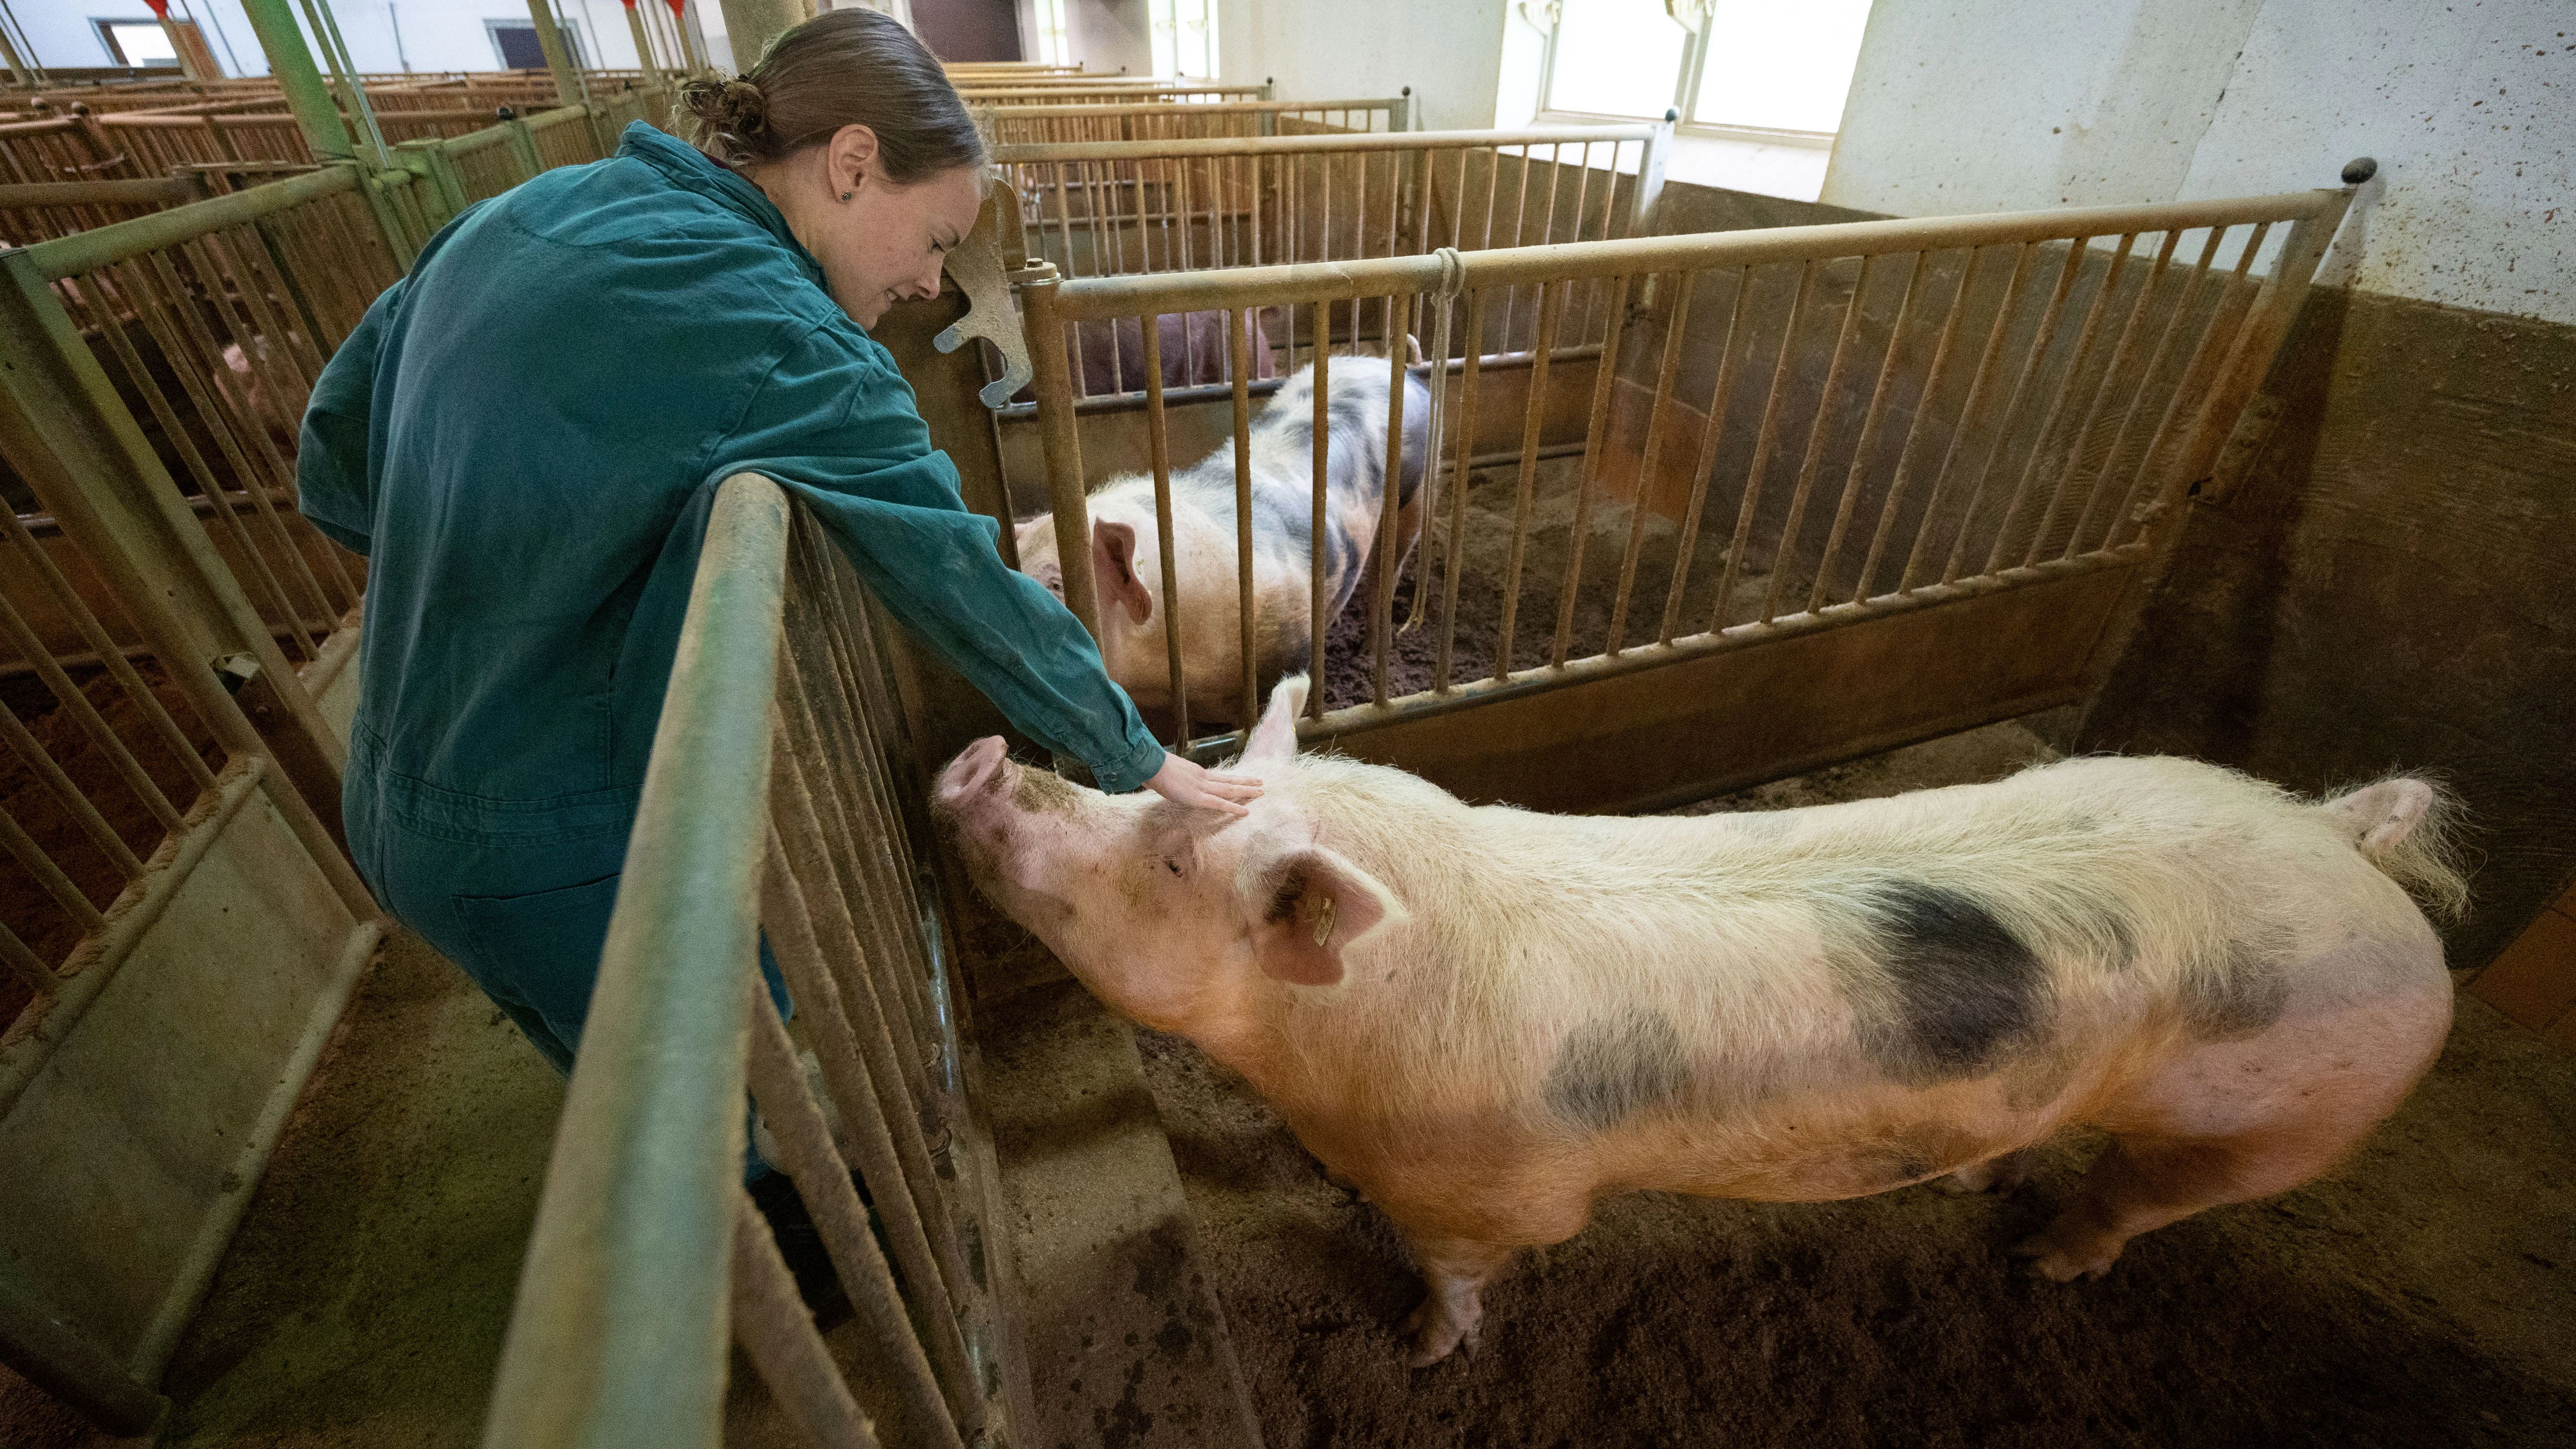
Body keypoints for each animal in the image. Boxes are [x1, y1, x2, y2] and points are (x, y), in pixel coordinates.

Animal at [933, 678, 2465, 1365]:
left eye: (1171, 864)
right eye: (1152, 792)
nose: (981, 758)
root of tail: (2343, 839)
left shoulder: (1492, 1191)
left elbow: (1458, 1269)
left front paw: (1421, 1349)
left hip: (2280, 1121)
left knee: (2140, 1199)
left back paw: (2039, 1263)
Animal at [1013, 360, 1433, 727]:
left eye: (1056, 585)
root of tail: (1388, 366)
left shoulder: (1289, 649)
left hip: (1413, 494)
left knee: (1387, 572)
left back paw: (1369, 652)